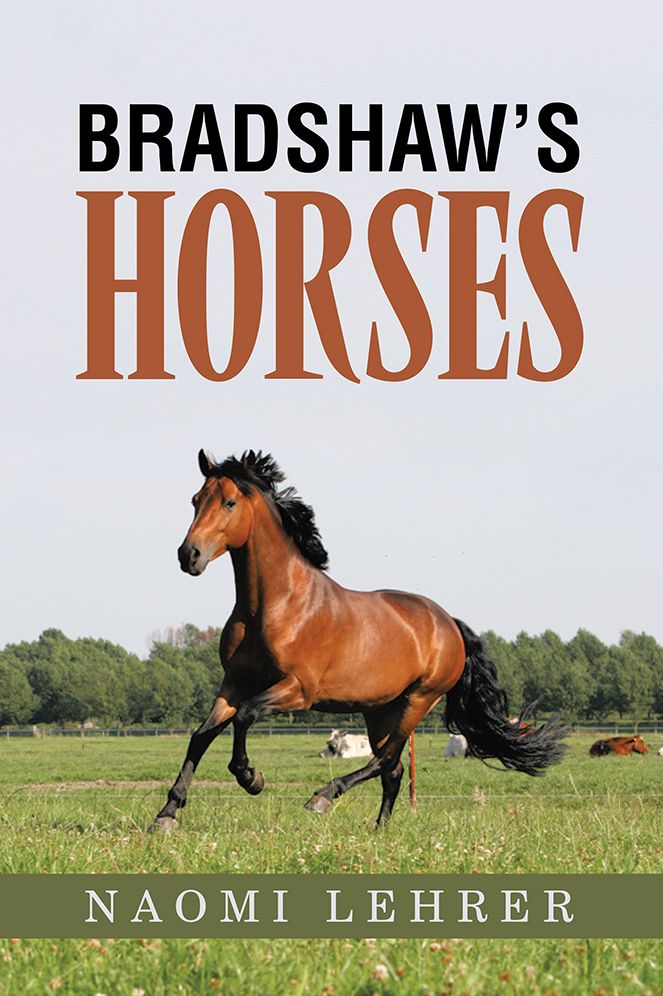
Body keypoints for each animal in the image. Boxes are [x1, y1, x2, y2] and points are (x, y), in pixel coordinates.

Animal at [152, 449, 567, 831]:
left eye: (229, 502)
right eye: (195, 500)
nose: (189, 555)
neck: (274, 606)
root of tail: (448, 622)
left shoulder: (298, 690)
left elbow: (245, 716)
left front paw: (251, 778)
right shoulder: (234, 683)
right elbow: (201, 736)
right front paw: (168, 813)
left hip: (418, 700)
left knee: (386, 761)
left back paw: (323, 797)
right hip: (379, 710)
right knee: (393, 770)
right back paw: (379, 830)